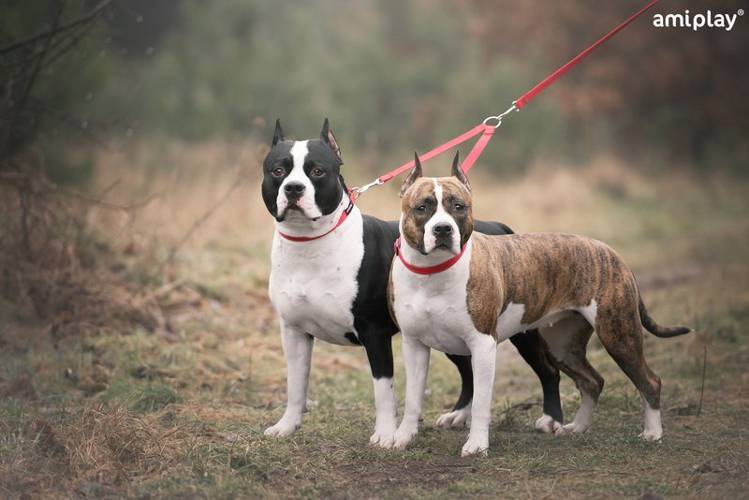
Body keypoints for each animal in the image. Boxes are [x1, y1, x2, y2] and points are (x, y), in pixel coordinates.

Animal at [261, 119, 564, 446]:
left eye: (317, 171)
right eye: (278, 171)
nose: (293, 187)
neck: (309, 244)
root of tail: (500, 228)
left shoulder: (374, 333)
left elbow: (383, 389)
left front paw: (384, 434)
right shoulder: (294, 331)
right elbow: (296, 384)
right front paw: (286, 425)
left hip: (521, 330)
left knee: (547, 370)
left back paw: (550, 419)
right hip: (448, 334)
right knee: (468, 370)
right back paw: (458, 415)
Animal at [388, 153, 691, 456]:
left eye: (459, 207)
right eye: (422, 207)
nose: (443, 229)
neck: (432, 272)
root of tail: (610, 251)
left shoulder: (482, 345)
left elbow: (480, 403)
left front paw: (476, 445)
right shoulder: (414, 345)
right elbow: (413, 398)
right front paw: (402, 438)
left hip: (618, 334)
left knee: (649, 381)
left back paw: (653, 432)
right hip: (563, 345)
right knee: (592, 381)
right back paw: (577, 427)